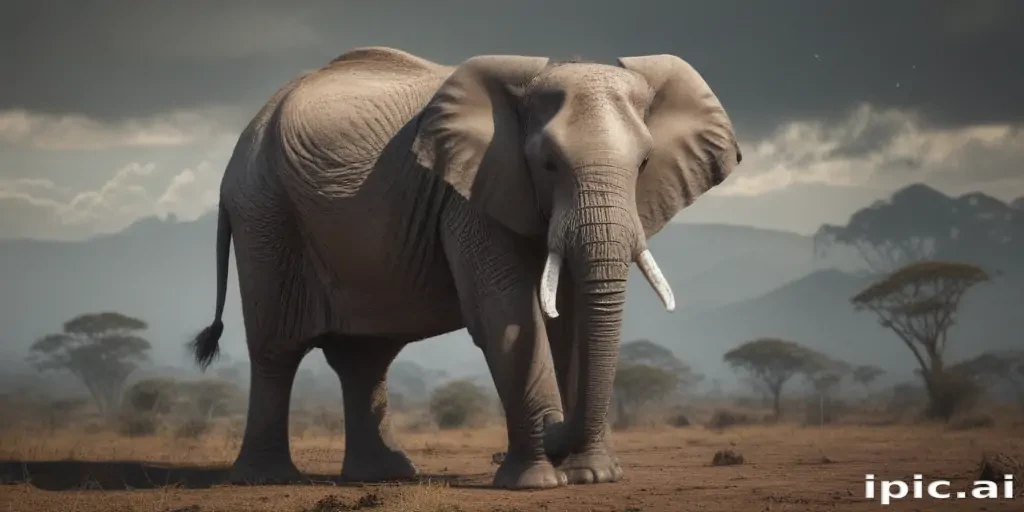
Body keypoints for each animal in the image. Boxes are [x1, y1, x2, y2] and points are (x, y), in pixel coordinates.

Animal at [188, 46, 741, 490]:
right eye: (548, 164)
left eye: (645, 164)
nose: (556, 431)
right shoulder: (467, 197)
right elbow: (506, 314)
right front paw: (538, 483)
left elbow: (572, 318)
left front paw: (594, 476)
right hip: (265, 216)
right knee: (276, 350)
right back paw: (266, 478)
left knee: (364, 358)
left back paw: (385, 475)